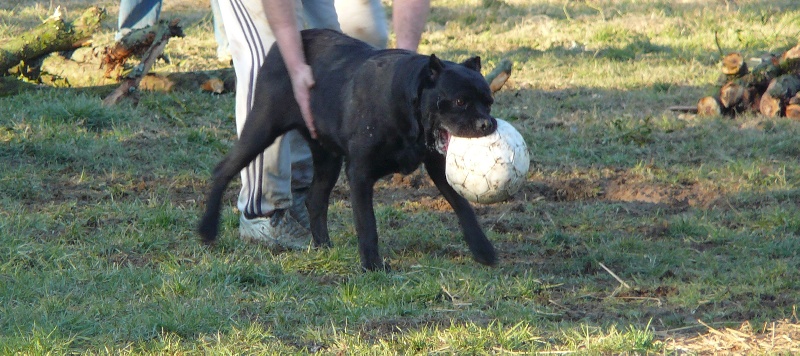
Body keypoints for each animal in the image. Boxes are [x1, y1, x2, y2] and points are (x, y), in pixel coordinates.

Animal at [199, 29, 496, 272]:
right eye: (459, 102)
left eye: (489, 102)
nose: (487, 123)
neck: (406, 103)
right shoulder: (359, 173)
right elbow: (367, 223)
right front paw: (372, 266)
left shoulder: (437, 164)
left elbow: (462, 206)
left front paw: (482, 249)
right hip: (262, 127)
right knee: (224, 169)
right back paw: (208, 229)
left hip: (327, 157)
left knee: (315, 199)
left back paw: (324, 247)